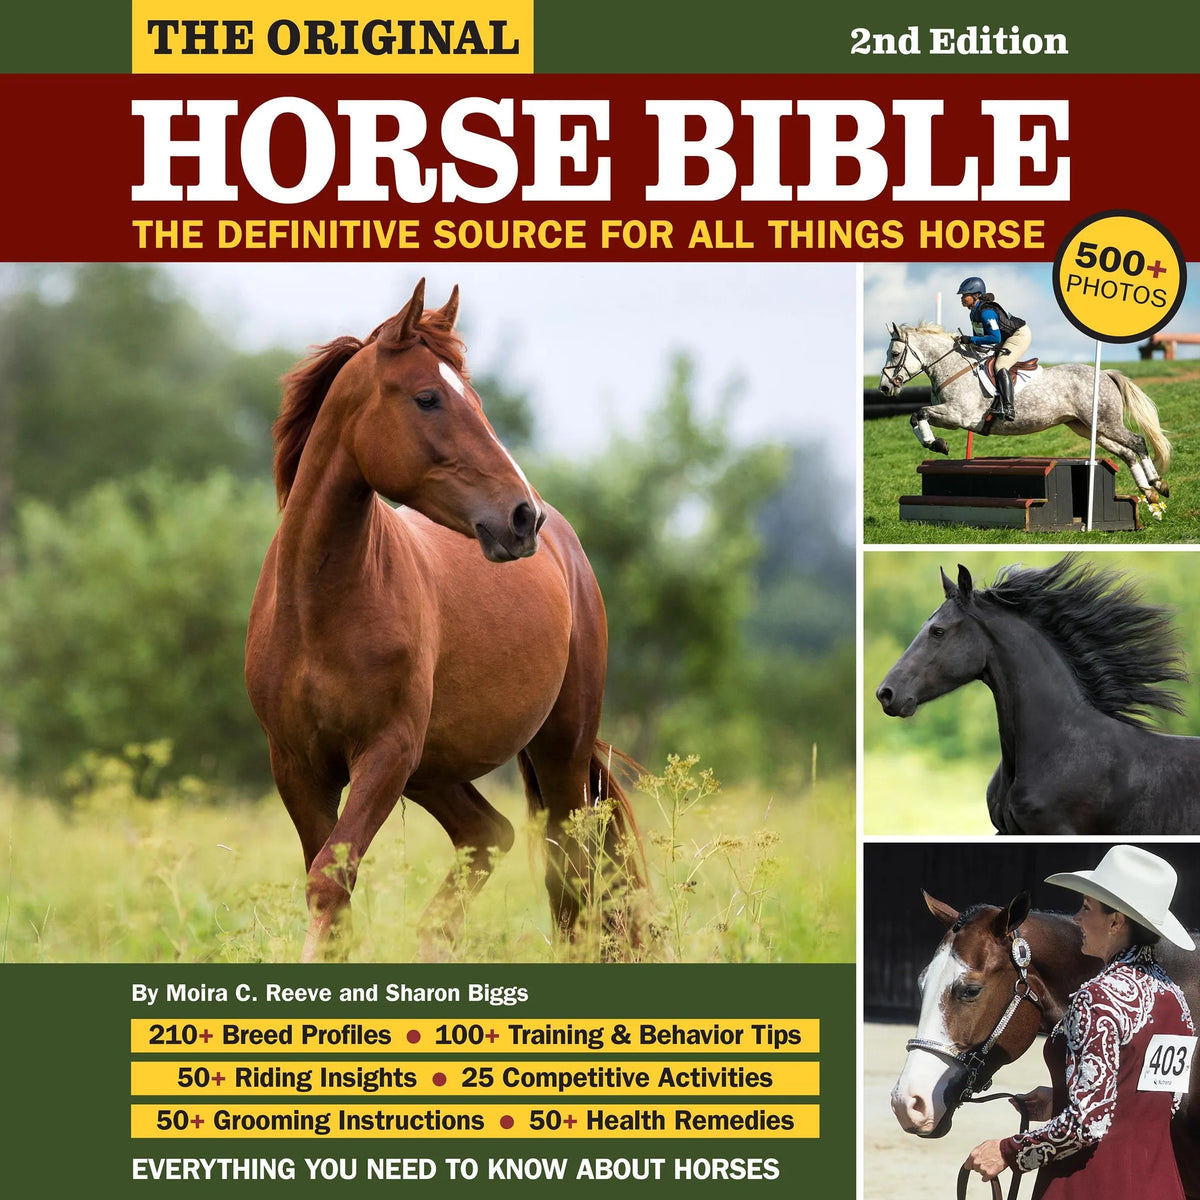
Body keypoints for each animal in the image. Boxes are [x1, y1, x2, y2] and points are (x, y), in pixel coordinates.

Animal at [245, 279, 644, 961]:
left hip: (556, 749)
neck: (319, 610)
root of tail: (566, 550)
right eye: (427, 397)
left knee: (571, 872)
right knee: (490, 834)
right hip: (433, 769)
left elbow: (331, 880)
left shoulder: (384, 754)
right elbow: (331, 889)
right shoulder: (298, 766)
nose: (521, 517)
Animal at [877, 322, 1170, 516]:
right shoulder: (950, 414)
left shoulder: (958, 415)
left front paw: (936, 443)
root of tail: (1105, 374)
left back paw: (1158, 484)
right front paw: (936, 443)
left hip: (1106, 423)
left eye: (895, 354)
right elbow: (916, 417)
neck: (953, 367)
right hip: (1089, 429)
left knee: (1137, 442)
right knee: (1127, 452)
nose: (884, 388)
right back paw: (1148, 492)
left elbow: (919, 413)